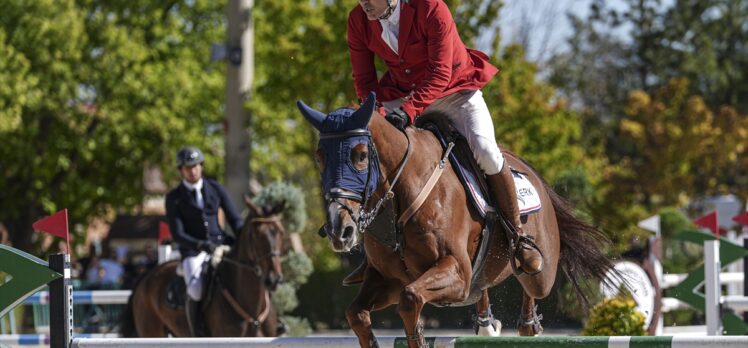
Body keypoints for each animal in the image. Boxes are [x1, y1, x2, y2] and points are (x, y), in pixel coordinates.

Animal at [120, 198, 286, 338]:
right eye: (254, 235)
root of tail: (148, 275)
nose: (273, 279)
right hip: (152, 332)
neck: (253, 314)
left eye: (280, 232)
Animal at [296, 93, 616, 348]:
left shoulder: (454, 271)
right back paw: (487, 323)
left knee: (531, 282)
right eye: (319, 157)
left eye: (361, 156)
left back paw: (528, 318)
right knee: (483, 286)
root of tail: (532, 175)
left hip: (540, 272)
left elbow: (410, 299)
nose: (339, 230)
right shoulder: (388, 279)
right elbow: (357, 313)